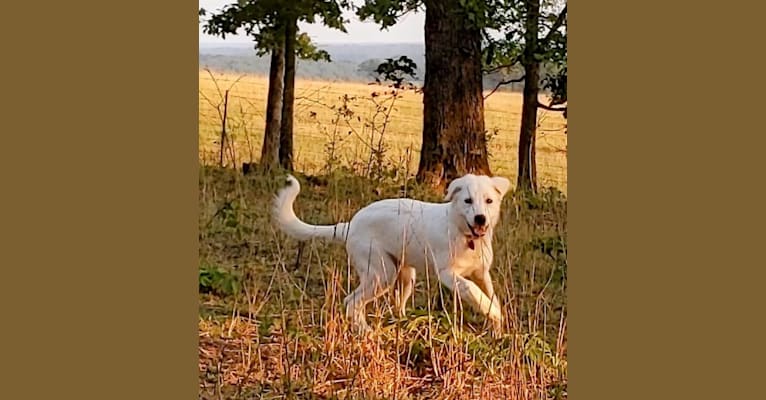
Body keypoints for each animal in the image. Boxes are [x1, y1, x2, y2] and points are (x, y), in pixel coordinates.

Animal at [272, 173, 512, 332]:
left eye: (489, 201)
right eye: (467, 201)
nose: (480, 219)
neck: (465, 234)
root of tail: (349, 225)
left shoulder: (481, 273)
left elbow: (490, 294)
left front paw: (497, 325)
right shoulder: (447, 273)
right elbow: (472, 289)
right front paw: (492, 312)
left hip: (404, 275)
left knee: (396, 304)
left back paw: (404, 323)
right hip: (381, 273)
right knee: (352, 302)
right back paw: (365, 332)